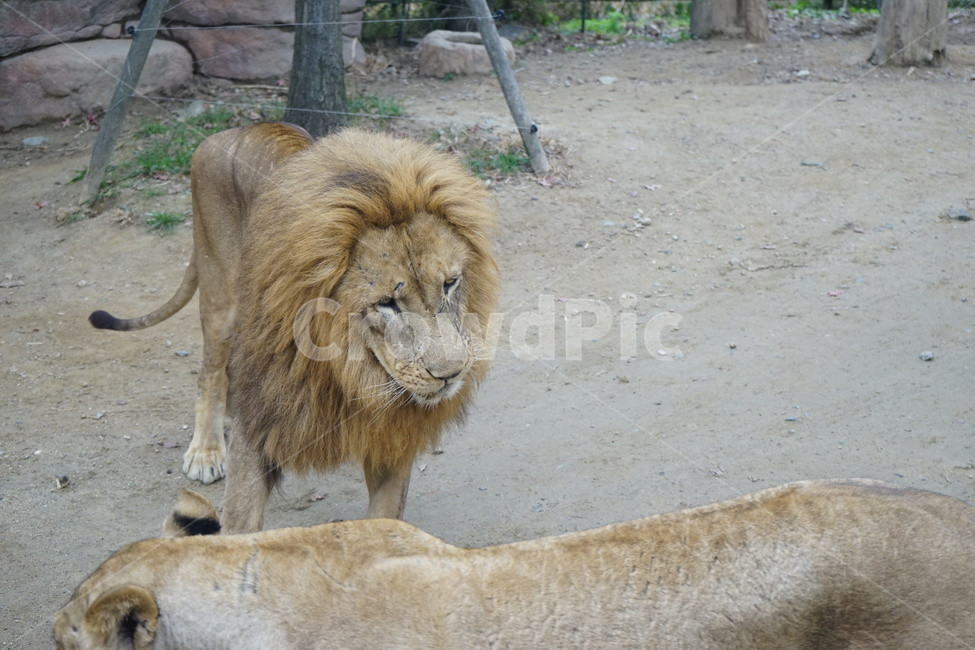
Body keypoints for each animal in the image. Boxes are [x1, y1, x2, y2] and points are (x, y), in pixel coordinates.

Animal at [89, 125, 499, 531]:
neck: (346, 370)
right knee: (210, 373)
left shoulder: (389, 437)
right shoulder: (261, 424)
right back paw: (206, 451)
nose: (451, 374)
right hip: (220, 297)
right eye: (387, 303)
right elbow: (239, 523)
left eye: (449, 284)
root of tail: (228, 131)